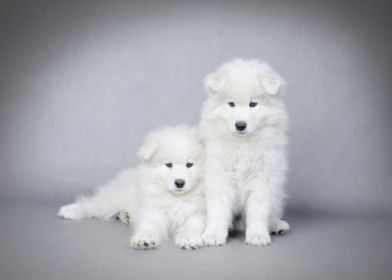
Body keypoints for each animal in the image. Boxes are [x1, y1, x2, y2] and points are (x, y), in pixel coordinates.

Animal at [59, 124, 205, 249]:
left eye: (189, 165)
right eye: (168, 165)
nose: (179, 182)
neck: (175, 198)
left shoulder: (200, 212)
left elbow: (192, 223)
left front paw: (188, 238)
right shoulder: (152, 210)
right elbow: (149, 225)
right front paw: (144, 238)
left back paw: (125, 215)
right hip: (112, 198)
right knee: (92, 204)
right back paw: (70, 210)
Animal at [201, 58, 290, 246]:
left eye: (253, 104)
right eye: (231, 104)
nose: (240, 125)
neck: (242, 145)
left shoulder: (262, 178)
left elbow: (258, 210)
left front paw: (257, 235)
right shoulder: (220, 176)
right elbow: (218, 210)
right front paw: (213, 234)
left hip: (276, 194)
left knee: (271, 213)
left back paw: (276, 225)